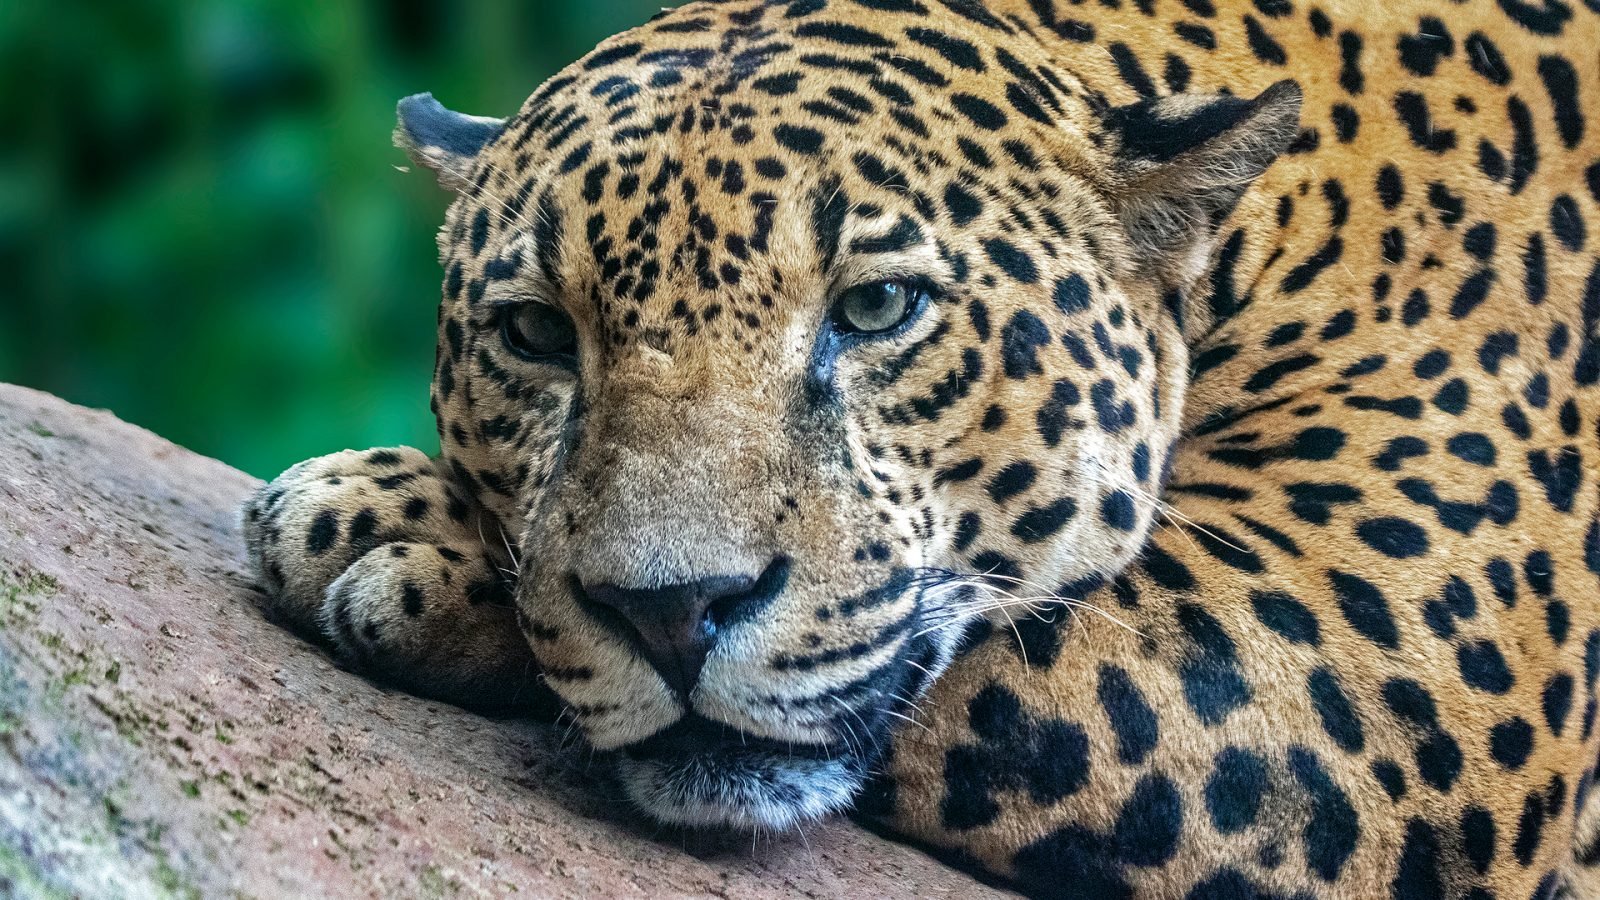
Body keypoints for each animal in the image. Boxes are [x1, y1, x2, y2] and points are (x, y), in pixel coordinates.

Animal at [240, 0, 1600, 896]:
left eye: (877, 309)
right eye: (533, 332)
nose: (671, 614)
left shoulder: (1368, 668)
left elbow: (991, 672)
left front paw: (393, 543)